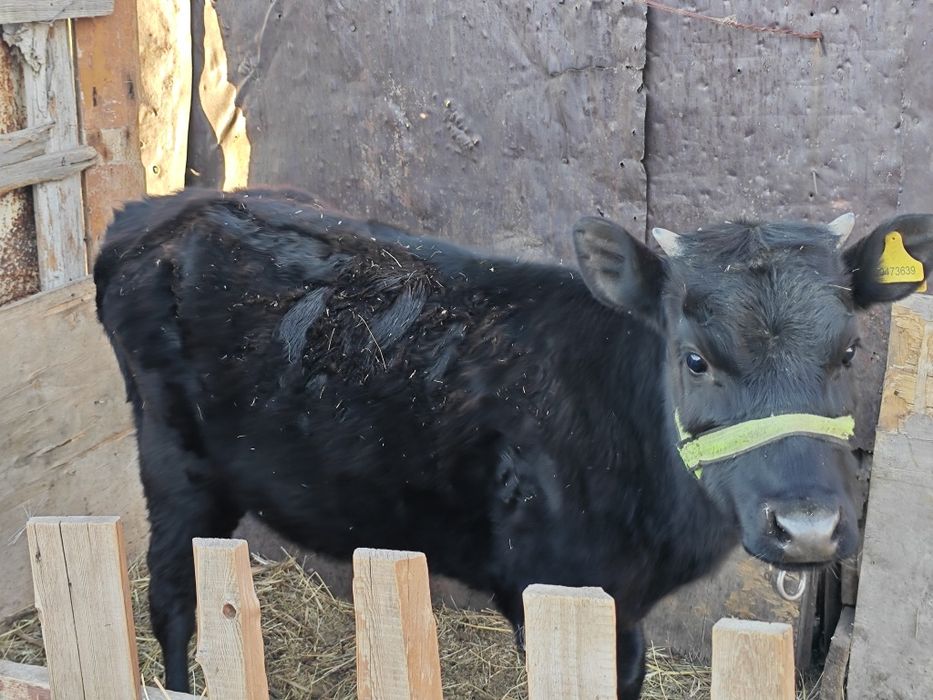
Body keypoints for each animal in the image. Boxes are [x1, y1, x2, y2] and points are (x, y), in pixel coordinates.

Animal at [93, 187, 933, 697]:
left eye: (850, 349)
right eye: (694, 358)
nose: (807, 528)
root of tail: (160, 209)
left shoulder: (620, 606)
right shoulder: (547, 585)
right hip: (173, 462)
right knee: (171, 594)